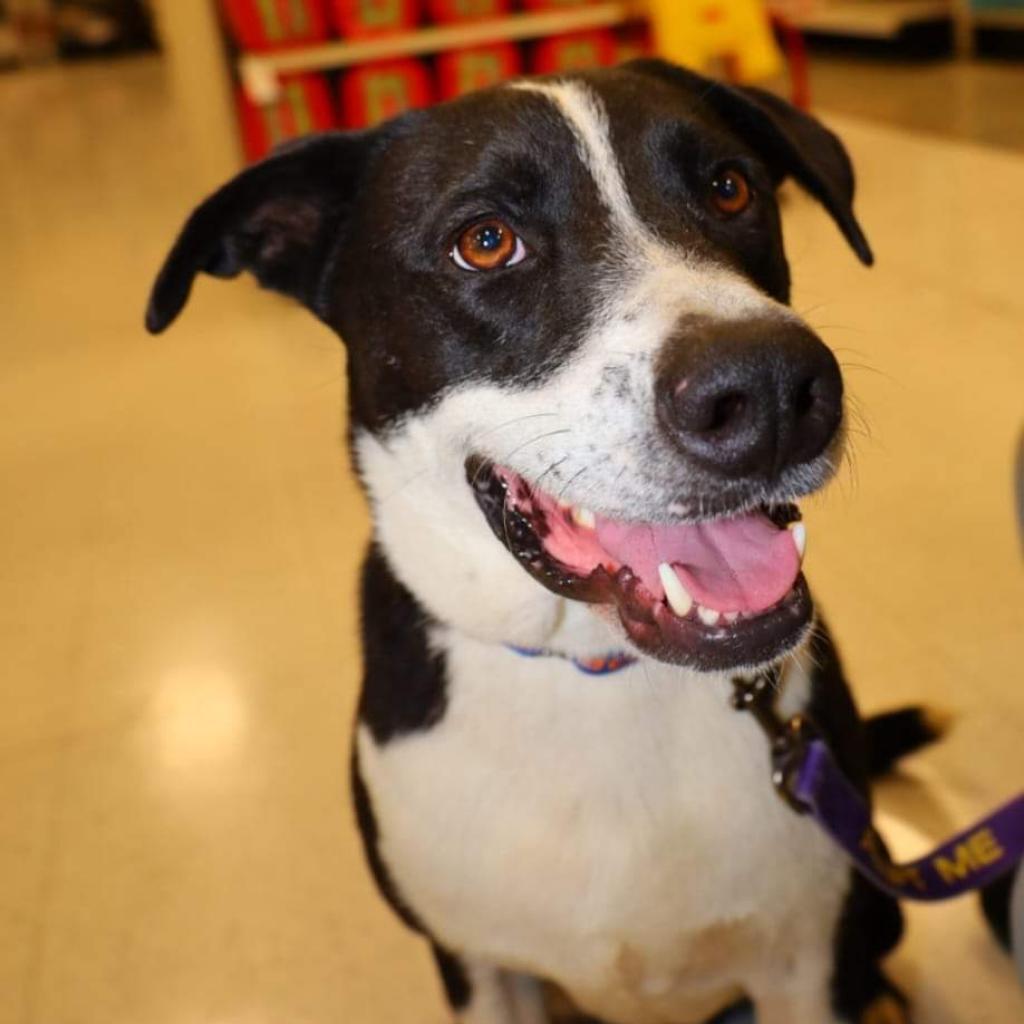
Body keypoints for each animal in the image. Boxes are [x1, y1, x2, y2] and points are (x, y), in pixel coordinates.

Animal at [142, 59, 937, 1019]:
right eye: (485, 242)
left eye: (730, 187)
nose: (775, 391)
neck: (592, 673)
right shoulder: (476, 963)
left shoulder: (807, 959)